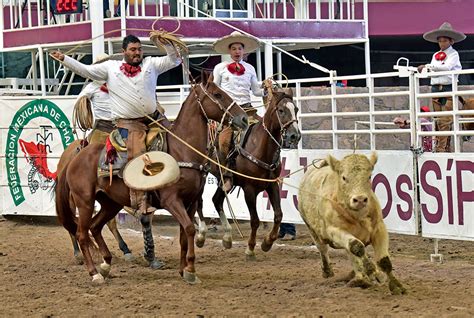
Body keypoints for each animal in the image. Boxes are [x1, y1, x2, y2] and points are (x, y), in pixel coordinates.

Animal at [56, 74, 248, 284]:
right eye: (217, 94)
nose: (243, 118)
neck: (181, 151)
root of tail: (73, 158)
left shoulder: (190, 202)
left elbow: (183, 235)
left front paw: (183, 270)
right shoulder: (172, 200)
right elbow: (190, 229)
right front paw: (190, 270)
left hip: (110, 202)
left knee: (95, 226)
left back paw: (106, 264)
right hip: (85, 201)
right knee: (82, 233)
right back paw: (95, 273)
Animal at [195, 88, 300, 260]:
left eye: (296, 109)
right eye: (281, 110)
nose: (294, 135)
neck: (260, 146)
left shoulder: (272, 185)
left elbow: (278, 215)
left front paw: (267, 242)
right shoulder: (249, 189)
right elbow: (255, 220)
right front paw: (250, 248)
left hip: (223, 181)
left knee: (216, 200)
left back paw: (227, 238)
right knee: (199, 202)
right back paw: (201, 235)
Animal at [298, 153, 406, 294]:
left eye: (369, 176)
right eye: (344, 177)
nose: (360, 199)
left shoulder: (379, 229)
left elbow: (384, 261)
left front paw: (396, 286)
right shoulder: (334, 231)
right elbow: (357, 247)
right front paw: (371, 270)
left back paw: (361, 278)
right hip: (312, 230)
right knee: (323, 249)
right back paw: (331, 272)